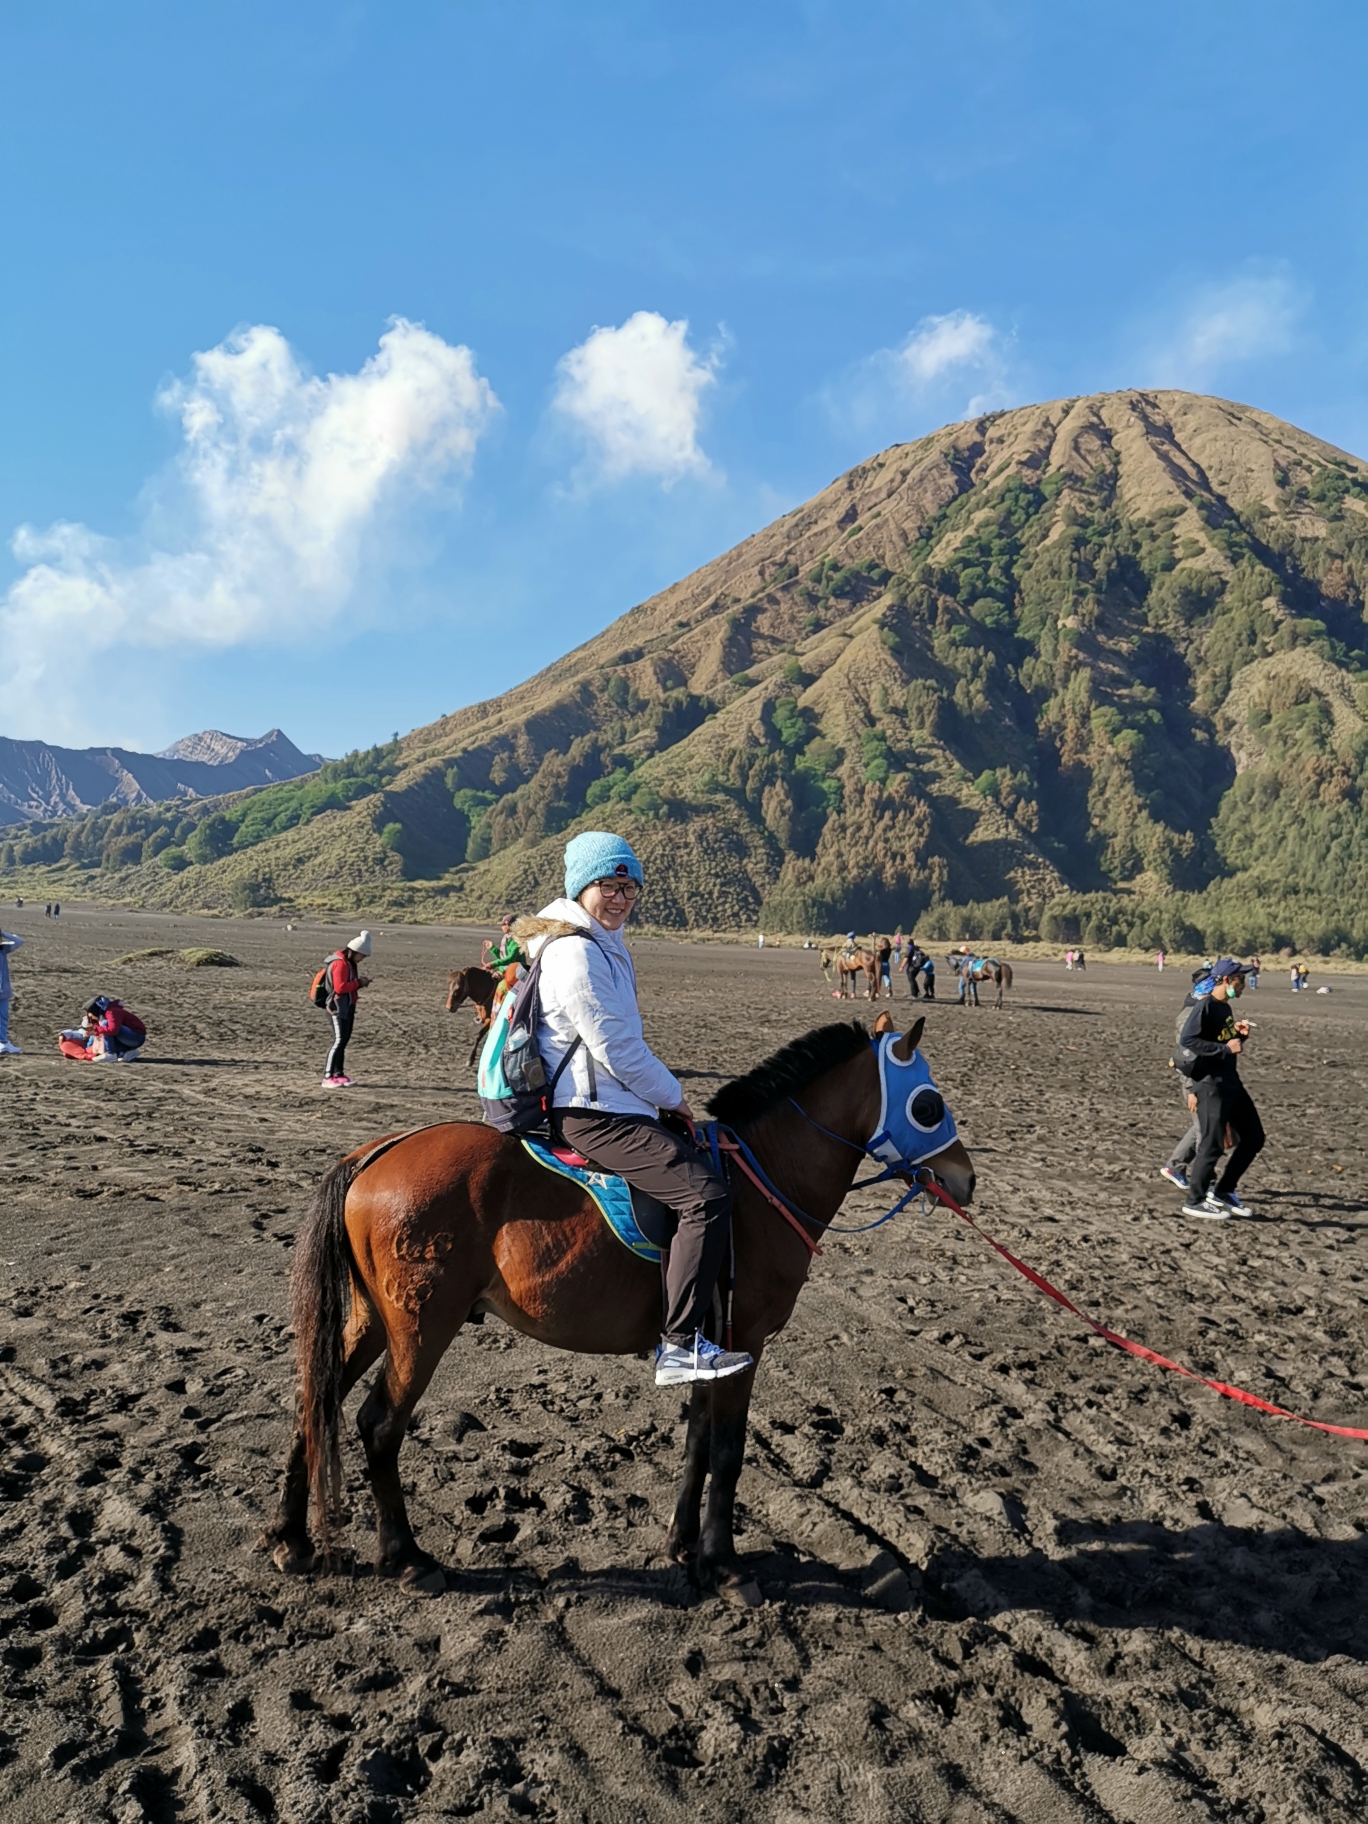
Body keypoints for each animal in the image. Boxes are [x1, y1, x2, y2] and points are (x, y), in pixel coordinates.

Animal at [259, 1021, 977, 1605]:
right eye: (928, 1104)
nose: (965, 1179)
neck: (763, 1179)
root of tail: (377, 1151)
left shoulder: (707, 1343)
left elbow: (697, 1442)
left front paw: (685, 1548)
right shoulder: (746, 1341)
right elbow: (729, 1452)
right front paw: (727, 1566)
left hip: (372, 1322)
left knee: (315, 1399)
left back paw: (291, 1541)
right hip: (420, 1328)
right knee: (379, 1425)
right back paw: (407, 1559)